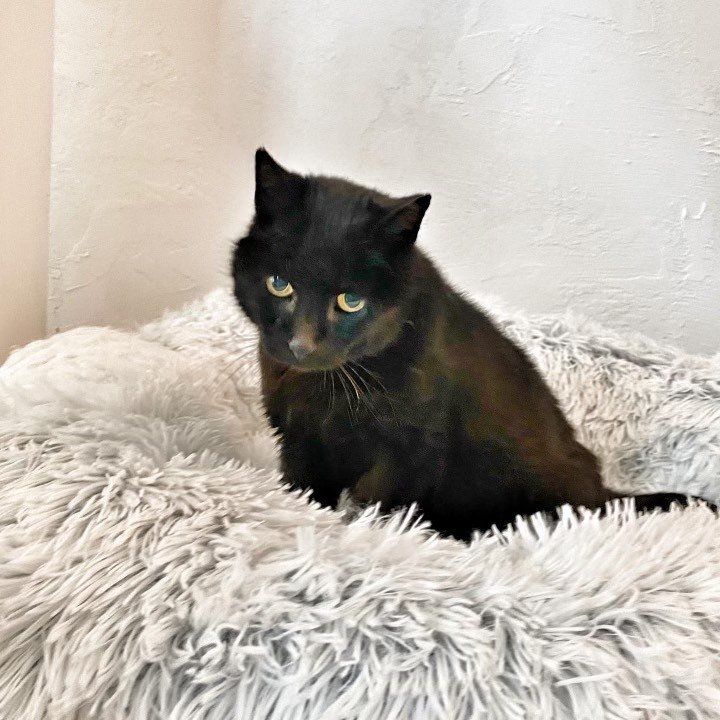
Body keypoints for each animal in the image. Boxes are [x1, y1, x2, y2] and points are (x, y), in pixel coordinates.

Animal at [232, 149, 696, 541]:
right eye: (279, 284)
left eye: (350, 301)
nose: (302, 346)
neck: (328, 387)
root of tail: (602, 491)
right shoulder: (297, 438)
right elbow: (303, 488)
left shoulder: (414, 447)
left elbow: (375, 498)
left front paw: (357, 532)